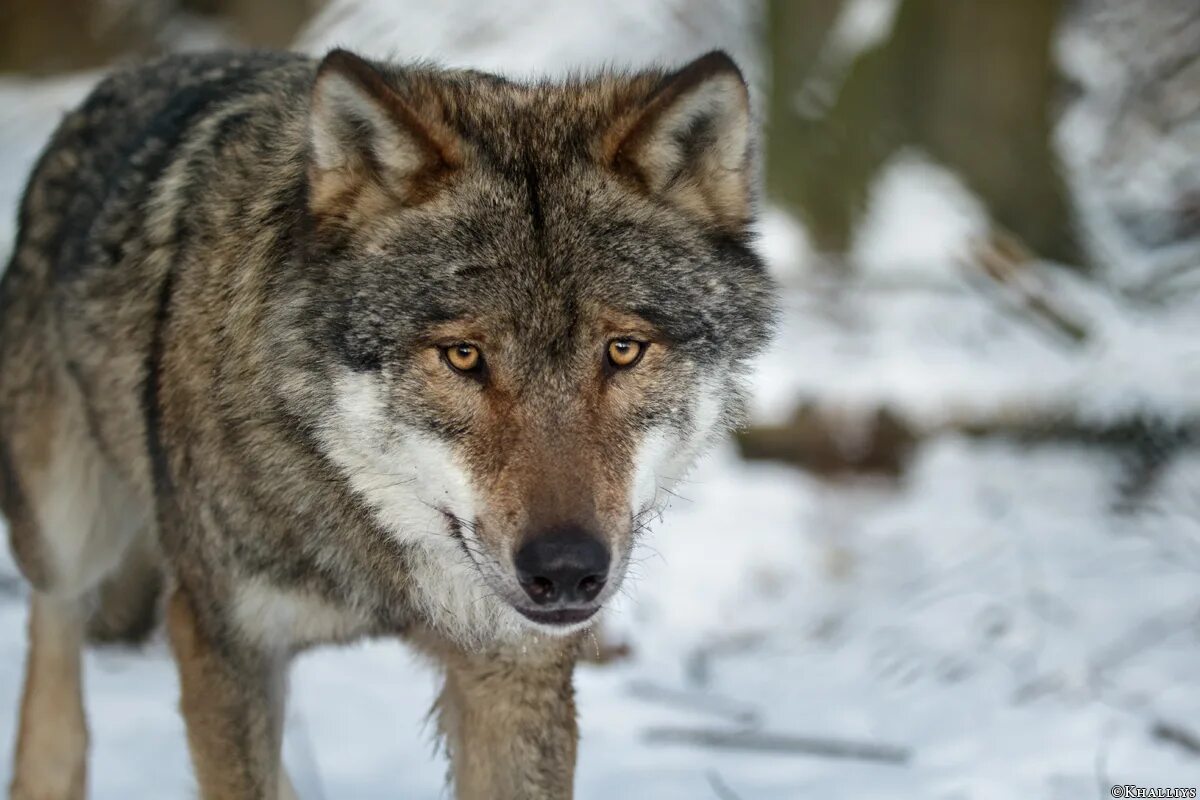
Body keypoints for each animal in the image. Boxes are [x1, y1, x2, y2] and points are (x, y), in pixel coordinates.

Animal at [0, 45, 772, 800]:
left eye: (623, 350)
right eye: (463, 356)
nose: (566, 570)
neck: (367, 527)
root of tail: (142, 67)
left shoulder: (513, 669)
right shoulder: (223, 640)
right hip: (67, 526)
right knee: (55, 623)